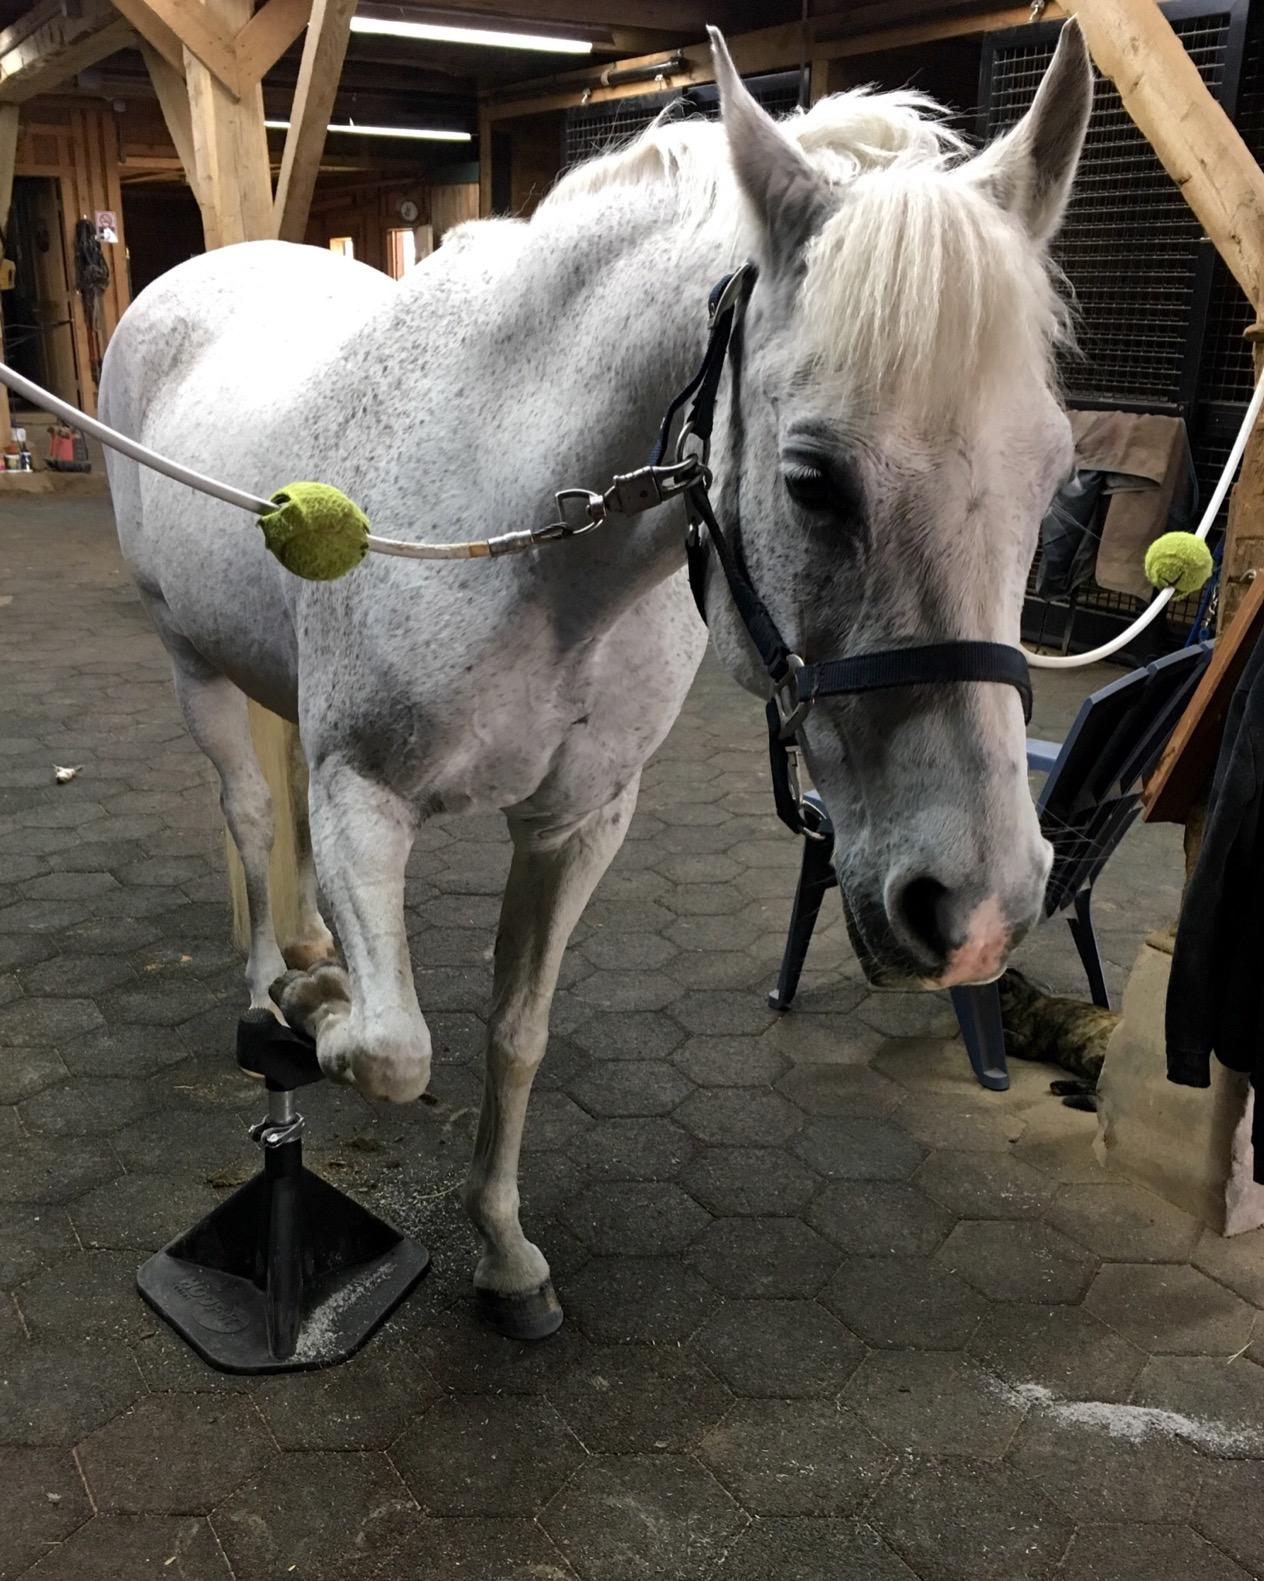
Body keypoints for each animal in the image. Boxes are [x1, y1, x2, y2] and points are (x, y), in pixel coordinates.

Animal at [99, 25, 1091, 1337]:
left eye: (1056, 473)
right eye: (812, 478)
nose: (979, 910)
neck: (513, 531)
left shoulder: (577, 822)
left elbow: (514, 1033)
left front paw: (505, 1252)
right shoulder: (366, 793)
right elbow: (396, 1046)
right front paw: (317, 1014)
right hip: (188, 665)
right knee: (253, 812)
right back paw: (276, 980)